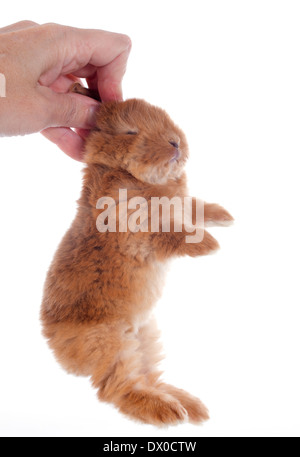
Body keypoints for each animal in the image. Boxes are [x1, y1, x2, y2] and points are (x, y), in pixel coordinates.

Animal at [40, 98, 232, 426]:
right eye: (130, 132)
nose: (175, 142)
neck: (133, 175)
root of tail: (53, 341)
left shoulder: (182, 206)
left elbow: (197, 208)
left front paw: (225, 217)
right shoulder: (139, 230)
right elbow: (174, 235)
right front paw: (210, 245)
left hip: (145, 339)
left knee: (151, 377)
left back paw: (191, 408)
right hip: (111, 344)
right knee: (120, 389)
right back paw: (169, 412)